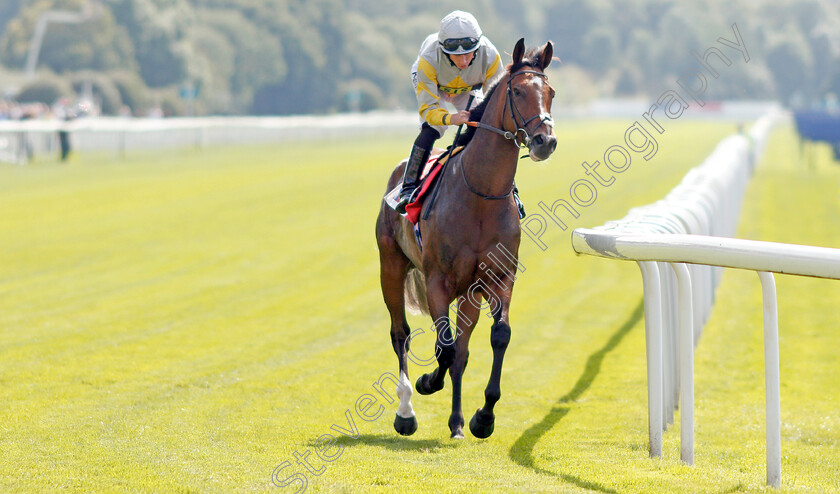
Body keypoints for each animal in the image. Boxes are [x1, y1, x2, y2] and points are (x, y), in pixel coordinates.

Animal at [378, 39, 556, 440]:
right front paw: (428, 382)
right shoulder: (437, 281)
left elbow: (495, 337)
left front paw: (482, 417)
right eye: (518, 91)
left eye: (551, 92)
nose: (545, 141)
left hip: (469, 293)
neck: (480, 194)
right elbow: (442, 348)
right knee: (401, 334)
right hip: (391, 266)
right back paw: (406, 410)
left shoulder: (497, 279)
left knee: (461, 349)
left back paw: (457, 422)